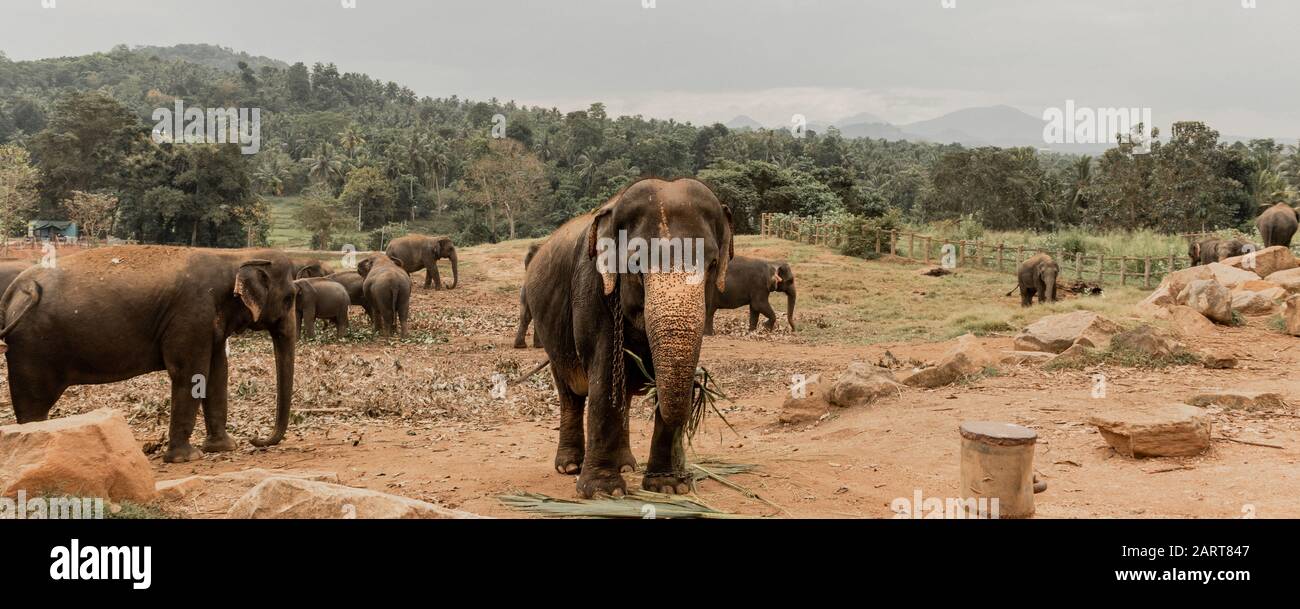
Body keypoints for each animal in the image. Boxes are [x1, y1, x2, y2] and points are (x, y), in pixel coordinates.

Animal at [0, 244, 297, 463]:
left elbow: (217, 373)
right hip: (33, 349)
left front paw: (223, 447)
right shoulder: (191, 313)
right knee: (34, 403)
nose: (256, 439)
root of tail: (13, 292)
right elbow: (189, 372)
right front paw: (186, 458)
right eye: (290, 298)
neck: (235, 256)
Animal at [525, 176, 733, 499]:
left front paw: (669, 486)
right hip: (551, 336)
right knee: (570, 393)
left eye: (712, 264)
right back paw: (570, 466)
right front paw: (602, 493)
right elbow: (604, 372)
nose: (701, 389)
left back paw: (626, 465)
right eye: (635, 264)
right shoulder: (591, 285)